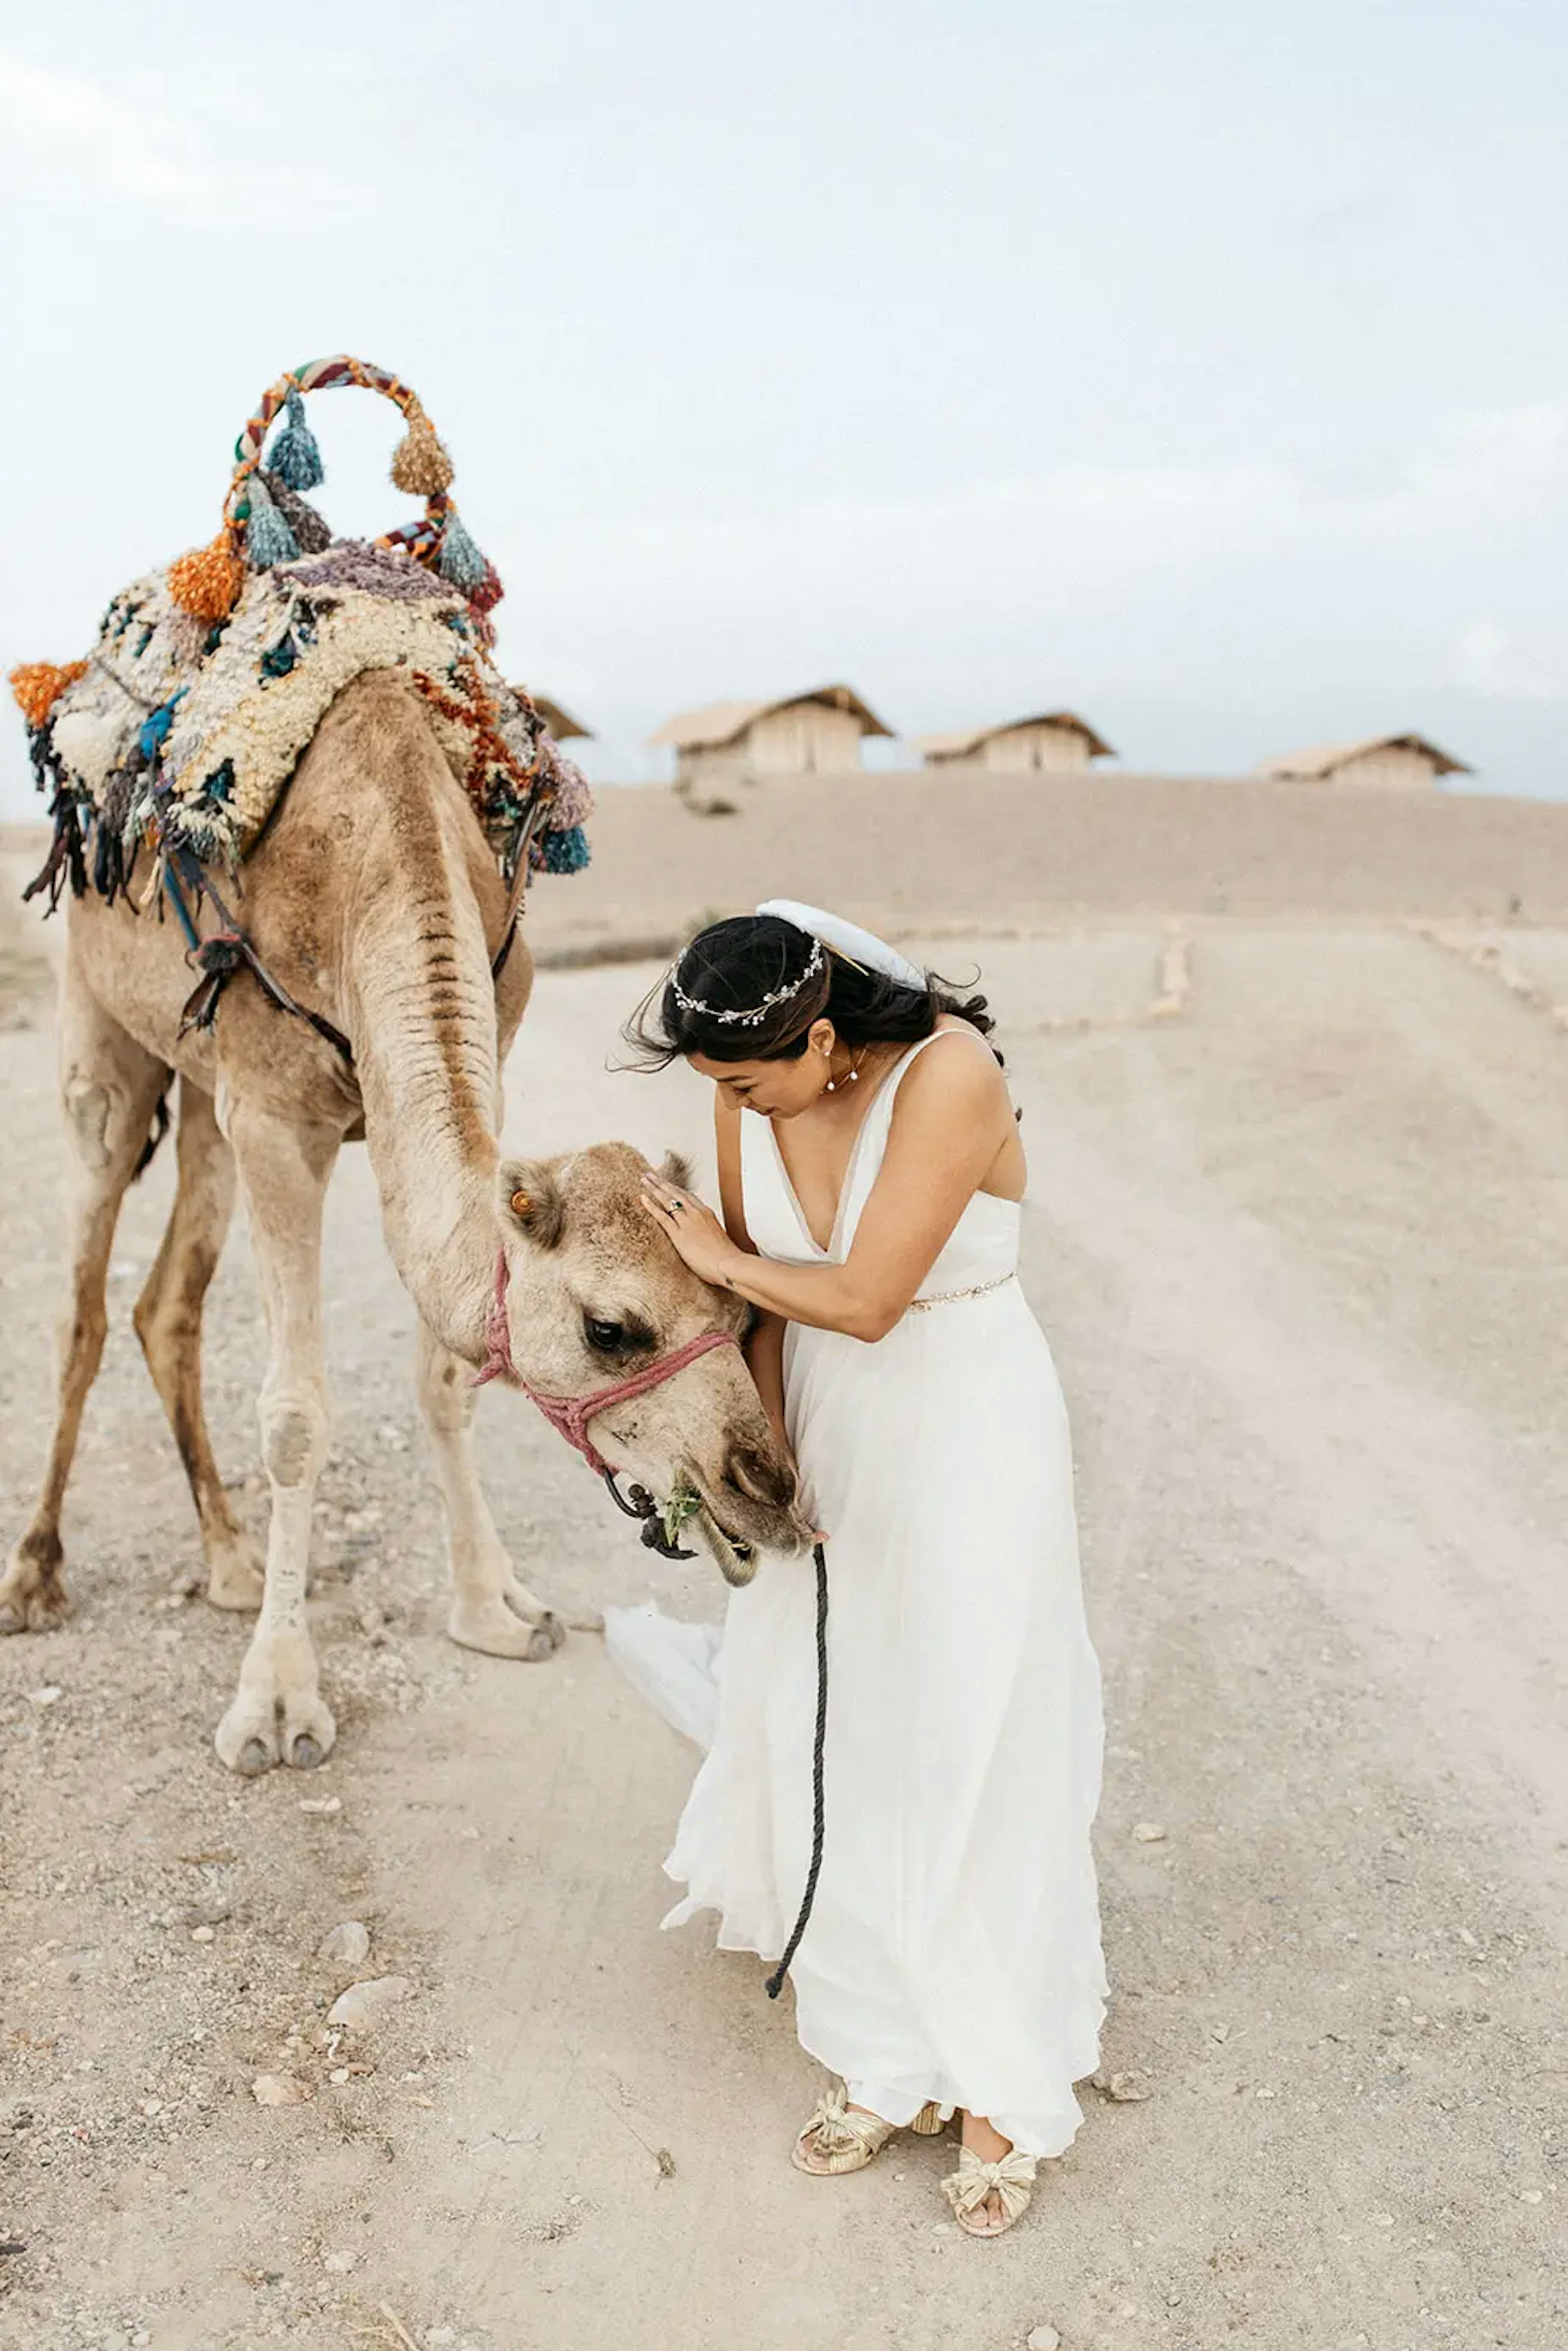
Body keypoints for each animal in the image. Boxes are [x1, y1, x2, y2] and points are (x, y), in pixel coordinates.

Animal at [0, 663, 804, 1768]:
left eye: (740, 1314)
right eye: (611, 1329)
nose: (763, 1487)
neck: (384, 854)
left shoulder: (485, 1056)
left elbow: (447, 1378)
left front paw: (496, 1606)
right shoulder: (277, 1118)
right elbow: (295, 1415)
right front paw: (277, 1701)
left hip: (204, 1098)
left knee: (168, 1305)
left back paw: (230, 1559)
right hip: (102, 1025)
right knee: (80, 1295)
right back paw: (36, 1574)